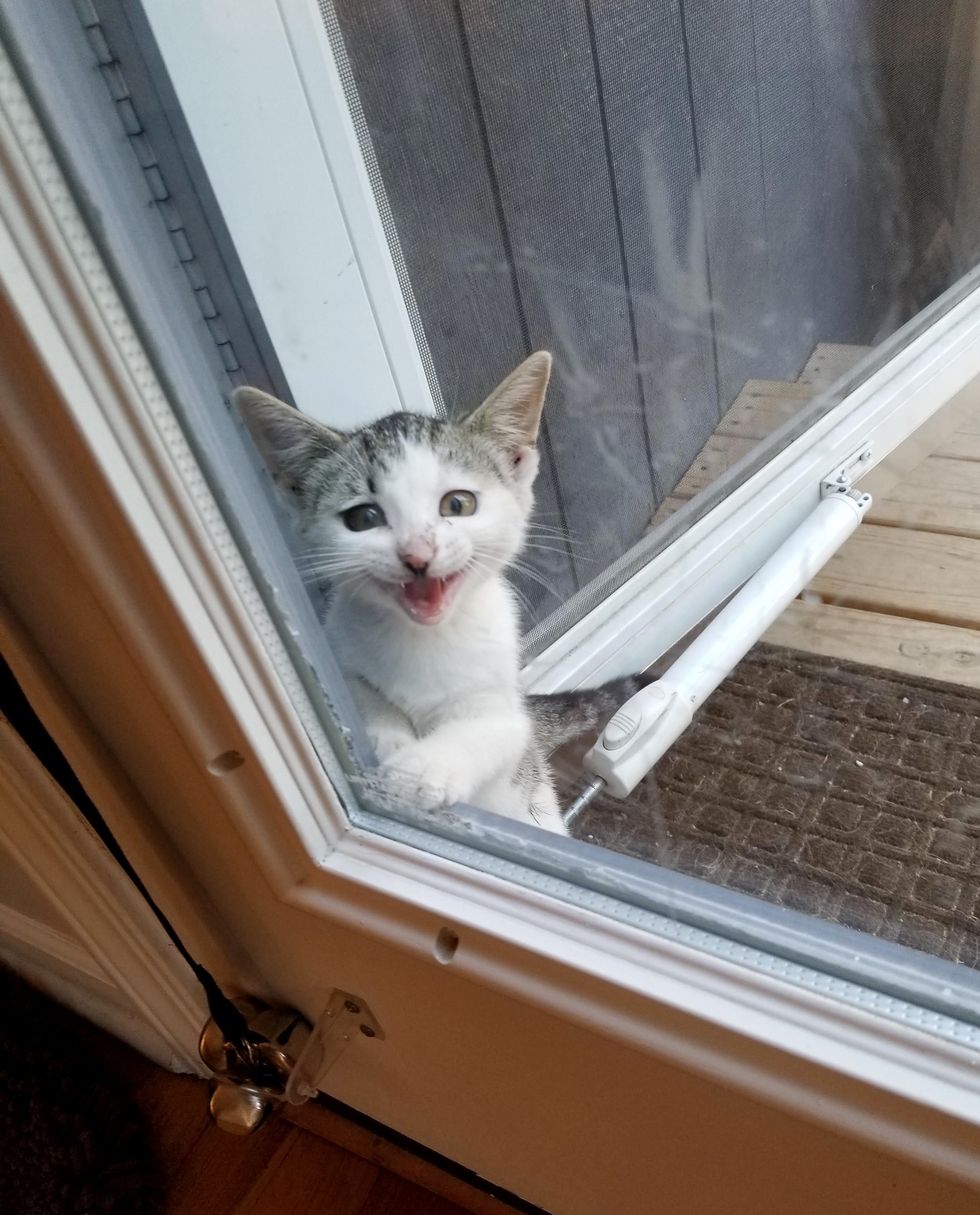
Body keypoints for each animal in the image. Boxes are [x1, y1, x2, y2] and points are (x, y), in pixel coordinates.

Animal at [235, 352, 636, 835]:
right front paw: (389, 739)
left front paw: (416, 772)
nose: (417, 555)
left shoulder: (506, 710)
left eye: (458, 504)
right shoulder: (340, 650)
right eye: (363, 518)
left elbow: (485, 732)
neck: (425, 639)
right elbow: (360, 692)